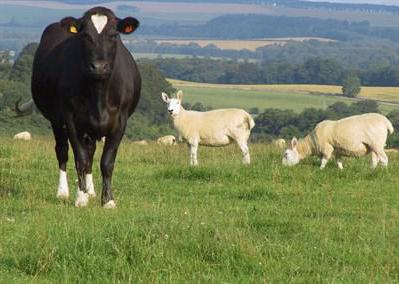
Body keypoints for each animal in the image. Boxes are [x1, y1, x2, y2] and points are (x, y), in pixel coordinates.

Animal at [29, 6, 140, 206]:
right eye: (85, 35)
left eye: (114, 35)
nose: (99, 67)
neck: (99, 94)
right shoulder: (70, 119)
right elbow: (80, 158)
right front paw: (80, 198)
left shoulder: (120, 122)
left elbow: (106, 161)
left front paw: (108, 200)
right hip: (56, 120)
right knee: (63, 152)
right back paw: (63, 192)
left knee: (91, 152)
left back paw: (91, 191)